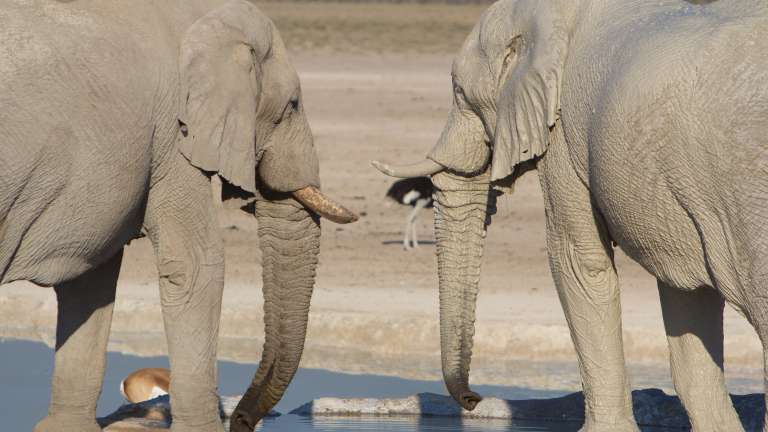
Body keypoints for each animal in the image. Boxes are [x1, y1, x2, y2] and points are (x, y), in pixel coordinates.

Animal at [0, 1, 357, 431]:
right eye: (292, 105)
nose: (242, 420)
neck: (206, 14)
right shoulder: (174, 134)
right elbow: (195, 266)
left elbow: (90, 277)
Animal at [374, 0, 768, 430]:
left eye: (459, 90)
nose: (472, 399)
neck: (550, 14)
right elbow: (685, 296)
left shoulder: (562, 134)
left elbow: (578, 262)